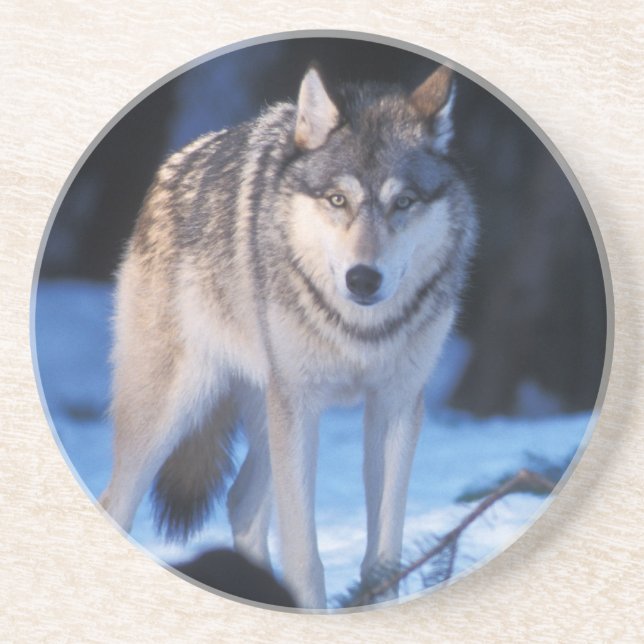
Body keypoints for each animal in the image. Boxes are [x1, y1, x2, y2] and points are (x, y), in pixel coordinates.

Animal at [100, 62, 477, 609]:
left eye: (403, 202)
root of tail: (175, 164)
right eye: (338, 199)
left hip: (263, 411)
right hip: (173, 413)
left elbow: (383, 559)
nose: (363, 279)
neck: (357, 330)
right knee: (117, 503)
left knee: (240, 502)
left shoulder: (396, 405)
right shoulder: (299, 406)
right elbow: (305, 558)